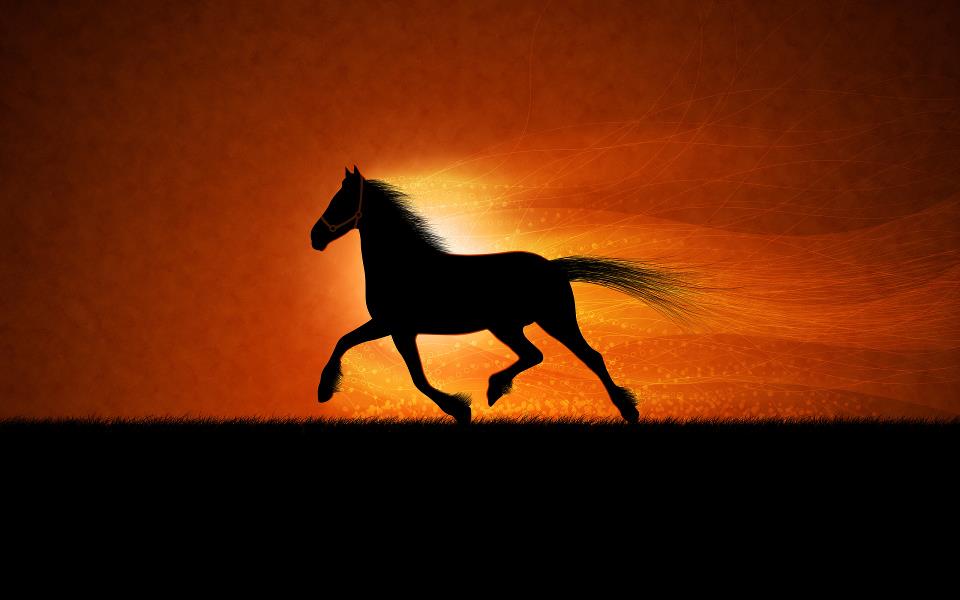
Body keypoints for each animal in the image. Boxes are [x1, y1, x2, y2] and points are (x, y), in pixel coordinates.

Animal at [311, 166, 701, 424]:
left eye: (340, 201)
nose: (315, 237)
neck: (403, 264)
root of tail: (554, 267)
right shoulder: (390, 326)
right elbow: (347, 342)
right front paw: (325, 390)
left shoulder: (398, 327)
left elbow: (415, 377)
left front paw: (460, 409)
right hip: (512, 326)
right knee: (537, 355)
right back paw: (497, 388)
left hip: (550, 321)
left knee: (588, 356)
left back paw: (627, 410)